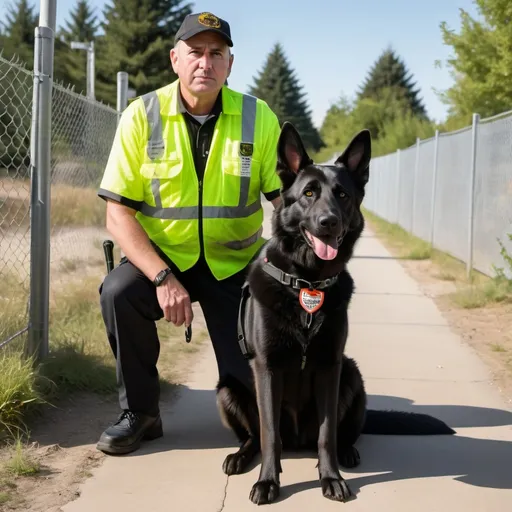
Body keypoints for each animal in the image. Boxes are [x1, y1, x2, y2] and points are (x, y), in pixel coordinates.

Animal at [214, 122, 454, 506]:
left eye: (342, 195)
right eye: (309, 193)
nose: (329, 222)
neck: (307, 283)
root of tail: (298, 442)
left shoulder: (331, 366)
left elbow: (327, 434)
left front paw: (331, 478)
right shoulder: (267, 369)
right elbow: (269, 435)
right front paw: (268, 482)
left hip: (352, 373)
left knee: (339, 434)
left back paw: (347, 453)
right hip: (228, 387)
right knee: (255, 435)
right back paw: (241, 456)